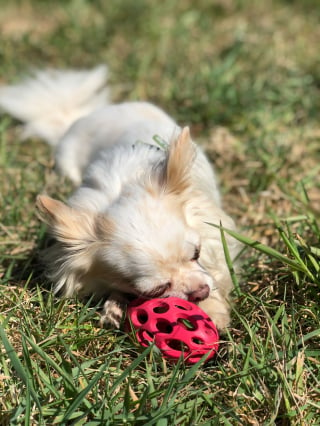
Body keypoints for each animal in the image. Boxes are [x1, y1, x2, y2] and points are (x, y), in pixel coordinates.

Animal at [0, 65, 240, 330]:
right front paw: (116, 305)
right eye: (156, 290)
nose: (200, 292)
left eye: (196, 253)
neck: (123, 186)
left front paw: (213, 311)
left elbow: (215, 267)